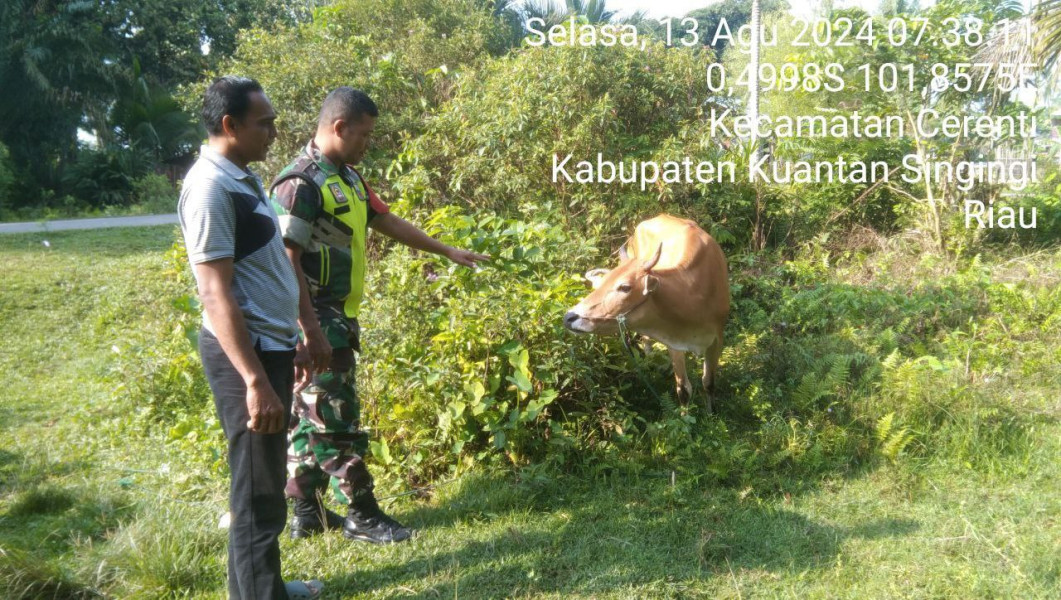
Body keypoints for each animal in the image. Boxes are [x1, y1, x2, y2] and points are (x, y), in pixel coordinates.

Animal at [564, 214, 729, 411]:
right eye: (602, 282)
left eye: (625, 287)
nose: (569, 317)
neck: (692, 296)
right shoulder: (674, 341)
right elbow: (683, 389)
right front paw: (684, 416)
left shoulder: (717, 339)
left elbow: (709, 383)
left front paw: (711, 413)